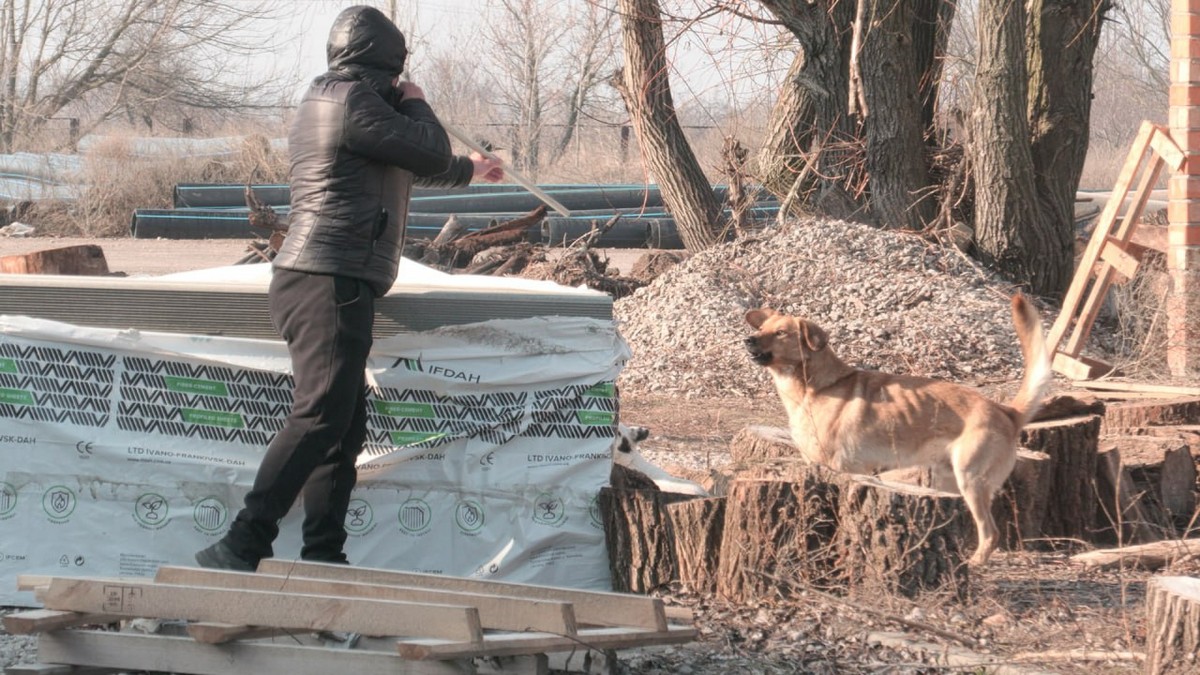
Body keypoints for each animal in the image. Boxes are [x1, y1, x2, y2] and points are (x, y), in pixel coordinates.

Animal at [739, 294, 1051, 562]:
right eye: (763, 328)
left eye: (781, 333)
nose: (747, 340)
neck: (816, 386)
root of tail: (1006, 411)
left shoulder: (840, 470)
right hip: (947, 483)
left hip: (971, 481)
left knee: (990, 534)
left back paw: (974, 564)